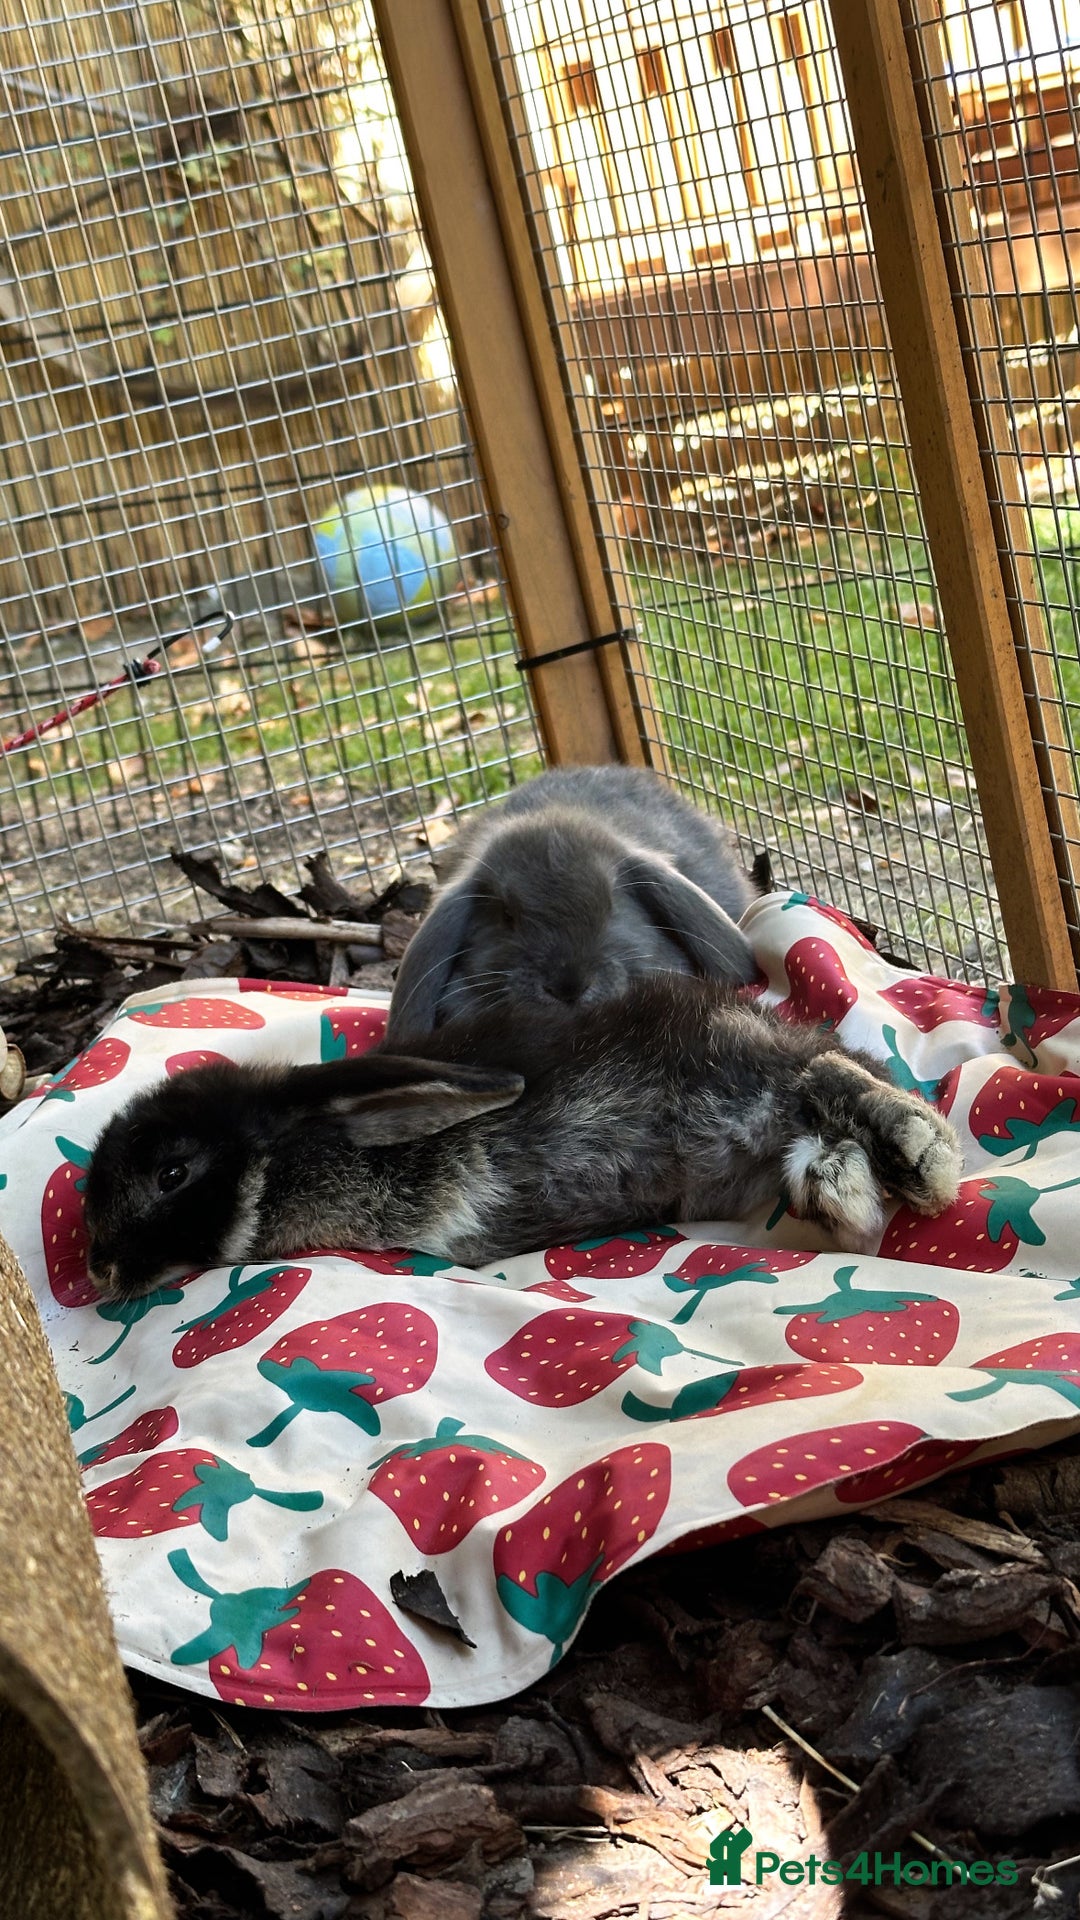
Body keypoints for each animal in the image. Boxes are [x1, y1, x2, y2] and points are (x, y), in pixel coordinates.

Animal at [83, 974, 963, 1301]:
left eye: (171, 1174)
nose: (96, 1268)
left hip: (734, 1070)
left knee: (824, 1071)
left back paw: (922, 1158)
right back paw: (845, 1190)